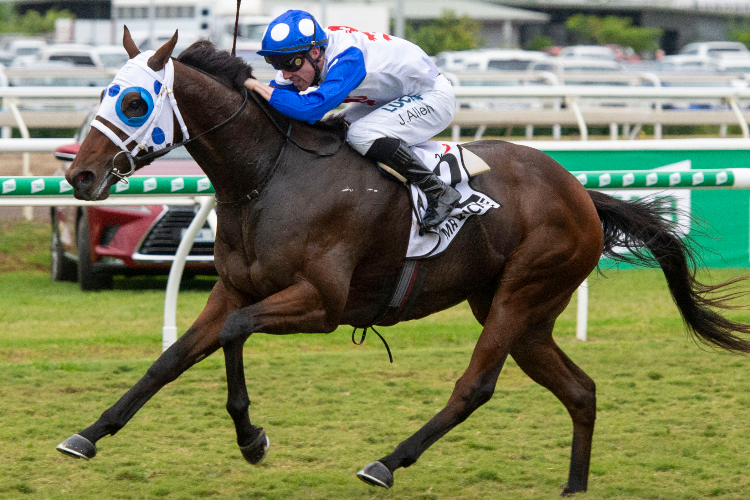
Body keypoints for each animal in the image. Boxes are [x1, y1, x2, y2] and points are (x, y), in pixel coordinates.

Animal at [55, 32, 750, 496]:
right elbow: (172, 358)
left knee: (476, 386)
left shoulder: (322, 303)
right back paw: (573, 487)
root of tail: (581, 192)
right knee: (580, 390)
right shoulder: (233, 287)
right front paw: (88, 434)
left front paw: (252, 440)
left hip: (520, 296)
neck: (267, 177)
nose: (79, 176)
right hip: (523, 313)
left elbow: (233, 333)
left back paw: (387, 462)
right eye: (103, 93)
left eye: (135, 102)